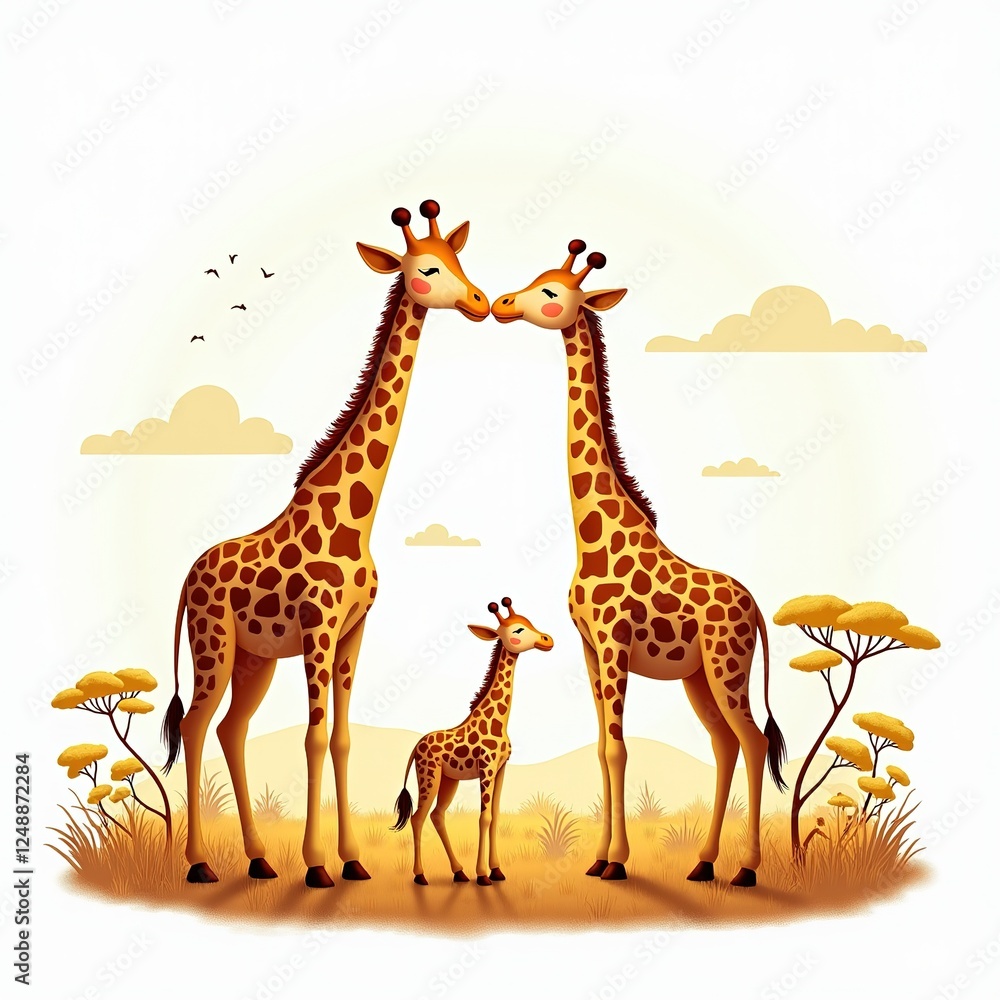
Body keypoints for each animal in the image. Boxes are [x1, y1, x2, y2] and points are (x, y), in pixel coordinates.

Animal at [161, 200, 489, 888]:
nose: (479, 299)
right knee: (200, 725)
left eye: (459, 258)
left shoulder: (352, 631)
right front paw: (316, 865)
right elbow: (311, 737)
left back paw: (259, 858)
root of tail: (187, 577)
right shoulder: (317, 626)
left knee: (231, 730)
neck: (356, 520)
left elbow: (340, 739)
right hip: (214, 644)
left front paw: (353, 859)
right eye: (427, 267)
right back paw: (201, 863)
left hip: (254, 659)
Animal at [390, 598, 553, 886]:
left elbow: (495, 816)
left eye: (529, 621)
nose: (548, 639)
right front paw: (483, 874)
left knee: (437, 815)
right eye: (518, 629)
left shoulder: (501, 768)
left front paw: (496, 870)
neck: (500, 722)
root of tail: (416, 747)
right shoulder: (486, 768)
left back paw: (459, 871)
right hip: (429, 776)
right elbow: (484, 817)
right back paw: (421, 876)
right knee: (418, 817)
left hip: (449, 780)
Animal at [491, 241, 786, 887]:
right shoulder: (588, 646)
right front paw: (600, 857)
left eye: (551, 291)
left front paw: (618, 861)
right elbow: (604, 748)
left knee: (752, 742)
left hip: (727, 666)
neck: (592, 537)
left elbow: (619, 748)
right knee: (725, 744)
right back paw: (703, 862)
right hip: (699, 676)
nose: (500, 303)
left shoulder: (614, 641)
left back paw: (747, 869)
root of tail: (755, 607)